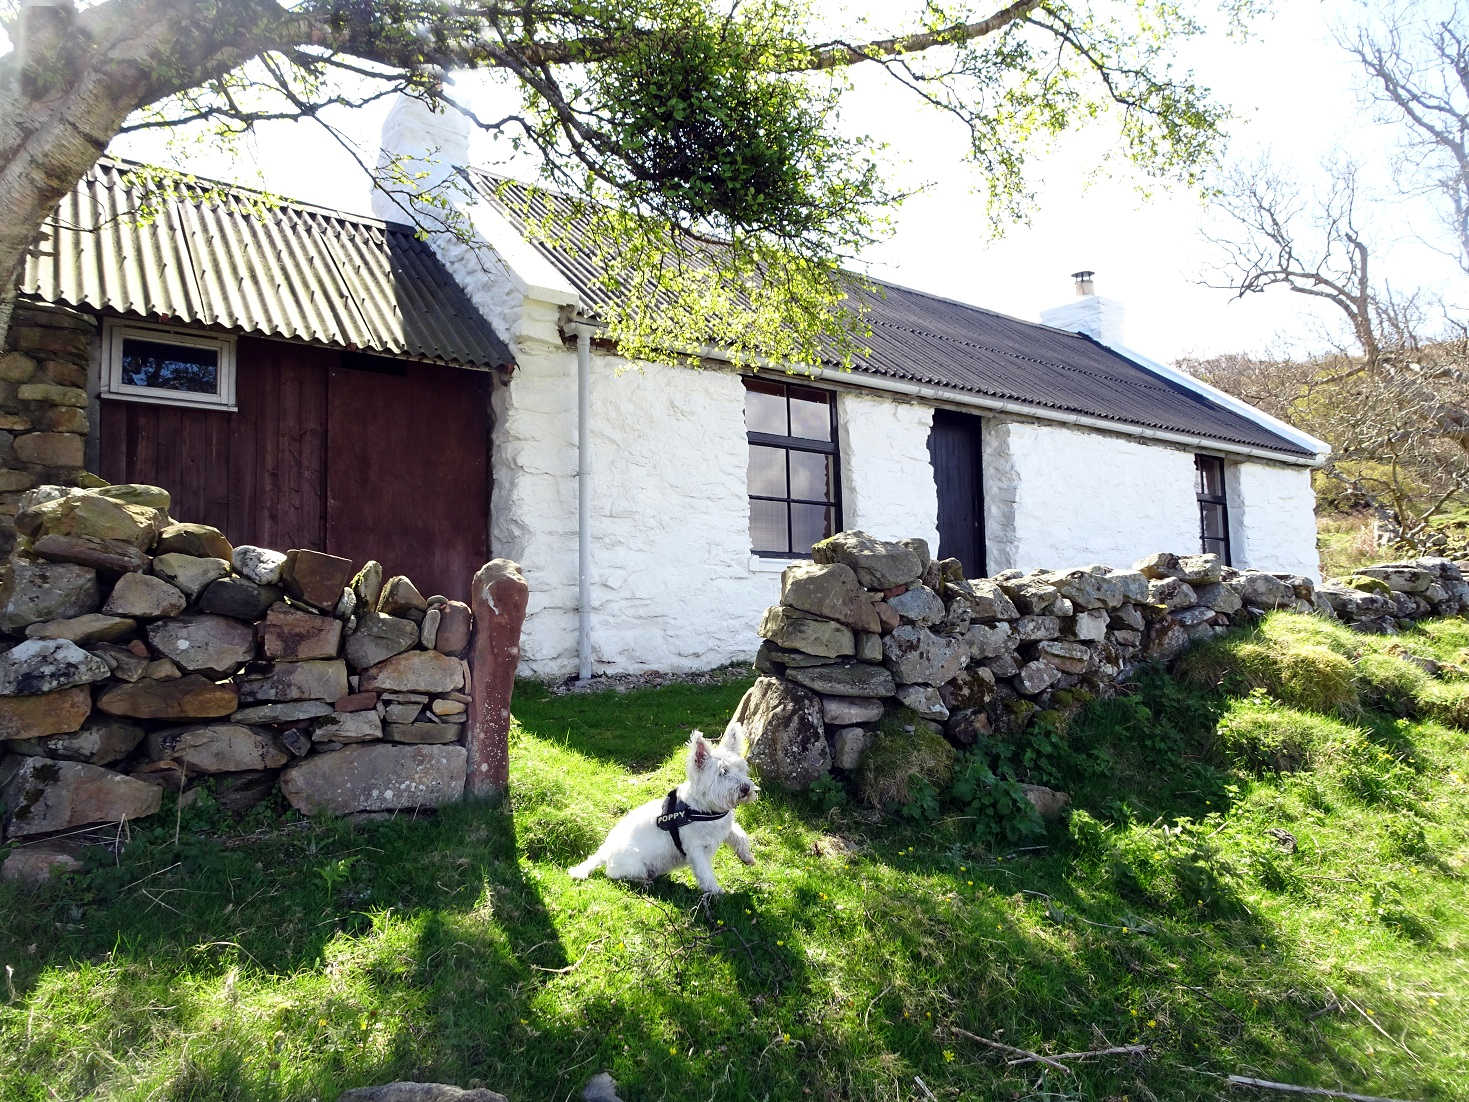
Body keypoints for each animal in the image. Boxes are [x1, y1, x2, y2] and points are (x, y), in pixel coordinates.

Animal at [564, 725, 758, 899]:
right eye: (722, 772)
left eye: (741, 769)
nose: (746, 788)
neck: (704, 809)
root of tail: (605, 851)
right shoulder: (696, 849)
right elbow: (705, 873)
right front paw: (717, 893)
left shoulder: (725, 826)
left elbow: (740, 835)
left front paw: (747, 857)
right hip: (633, 864)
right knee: (615, 875)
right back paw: (644, 881)